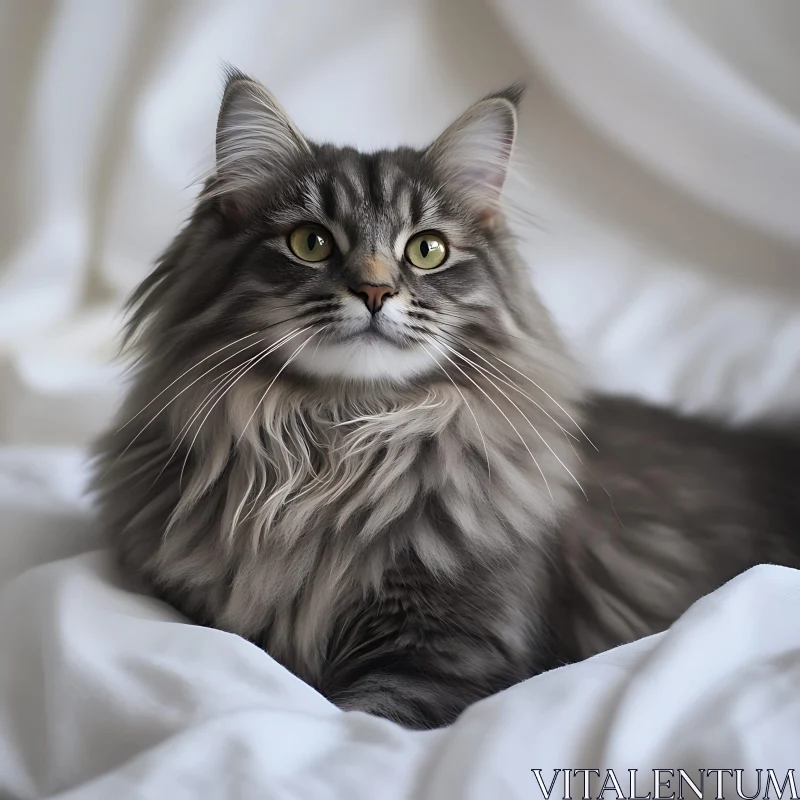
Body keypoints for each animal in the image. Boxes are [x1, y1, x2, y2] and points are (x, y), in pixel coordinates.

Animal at [90, 70, 800, 732]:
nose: (375, 291)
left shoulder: (445, 653)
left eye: (426, 249)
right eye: (310, 242)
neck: (338, 444)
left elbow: (364, 723)